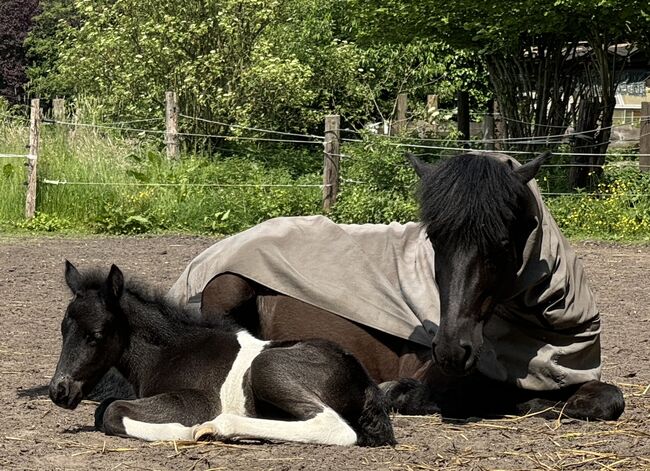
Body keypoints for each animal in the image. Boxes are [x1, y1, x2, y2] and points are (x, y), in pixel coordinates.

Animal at [48, 264, 392, 448]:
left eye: (96, 335)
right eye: (63, 329)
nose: (58, 391)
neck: (172, 352)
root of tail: (365, 381)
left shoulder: (195, 401)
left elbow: (112, 410)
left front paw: (183, 431)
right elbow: (102, 408)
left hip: (267, 366)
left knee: (334, 426)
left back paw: (214, 428)